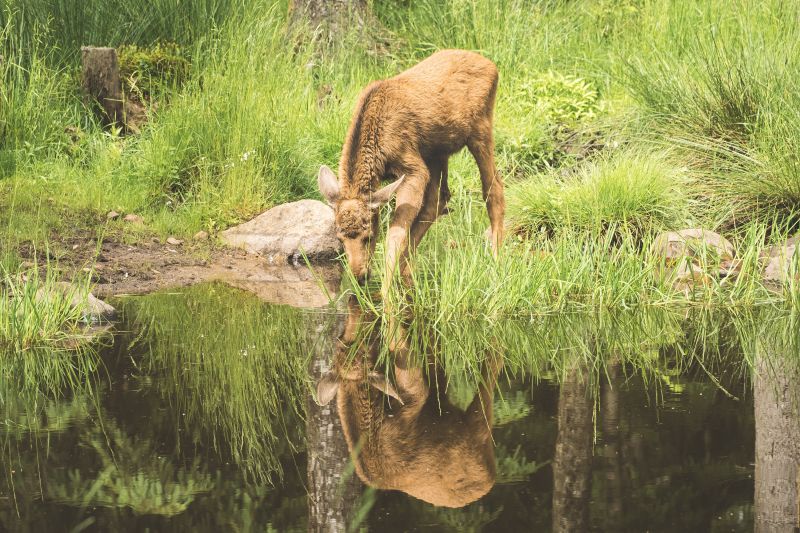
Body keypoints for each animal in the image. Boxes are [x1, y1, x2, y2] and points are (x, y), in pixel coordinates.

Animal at [316, 298, 502, 508]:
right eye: (366, 348)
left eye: (341, 344)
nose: (353, 301)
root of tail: (489, 482)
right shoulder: (416, 392)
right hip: (476, 429)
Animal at [317, 49, 505, 302]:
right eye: (340, 238)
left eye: (368, 236)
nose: (359, 276)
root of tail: (492, 65)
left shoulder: (413, 167)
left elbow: (395, 232)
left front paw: (385, 293)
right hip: (437, 153)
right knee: (439, 199)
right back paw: (406, 271)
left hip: (480, 130)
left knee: (493, 188)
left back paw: (496, 258)